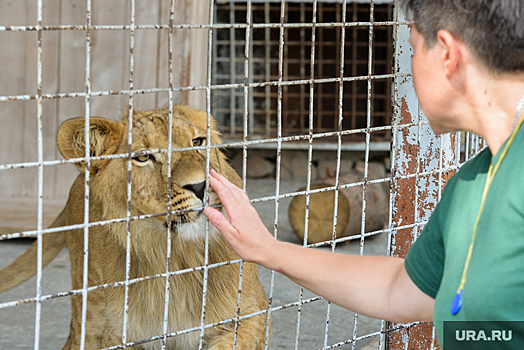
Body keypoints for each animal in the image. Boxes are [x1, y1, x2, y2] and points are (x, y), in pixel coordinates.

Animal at [0, 104, 270, 350]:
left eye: (197, 141)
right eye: (143, 157)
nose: (200, 186)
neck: (178, 258)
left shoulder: (253, 312)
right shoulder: (117, 335)